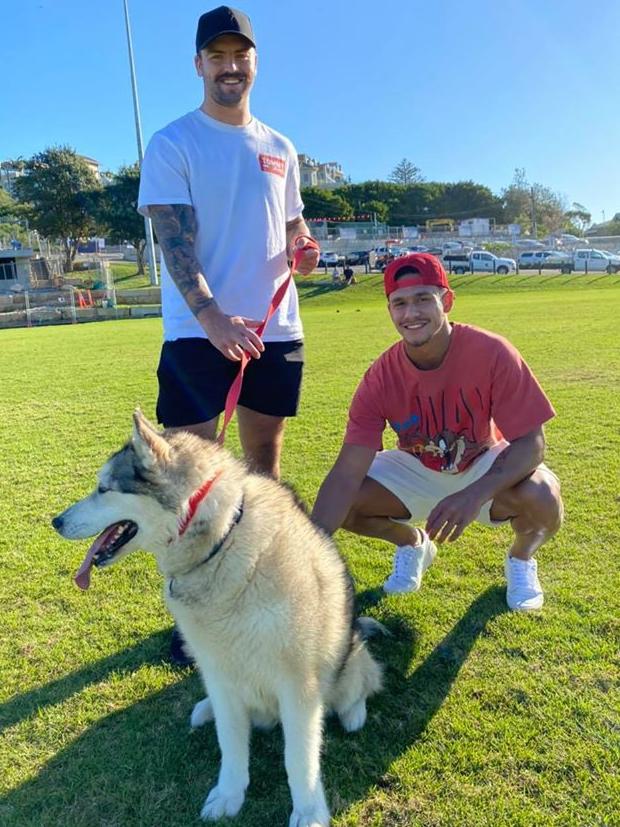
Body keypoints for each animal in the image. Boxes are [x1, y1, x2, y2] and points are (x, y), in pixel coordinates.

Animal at [53, 410, 382, 824]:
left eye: (103, 488)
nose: (55, 521)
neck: (221, 545)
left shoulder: (298, 686)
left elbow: (299, 758)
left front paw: (308, 811)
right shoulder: (219, 672)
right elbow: (231, 744)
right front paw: (228, 795)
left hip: (348, 660)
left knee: (362, 683)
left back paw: (353, 714)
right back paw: (206, 709)